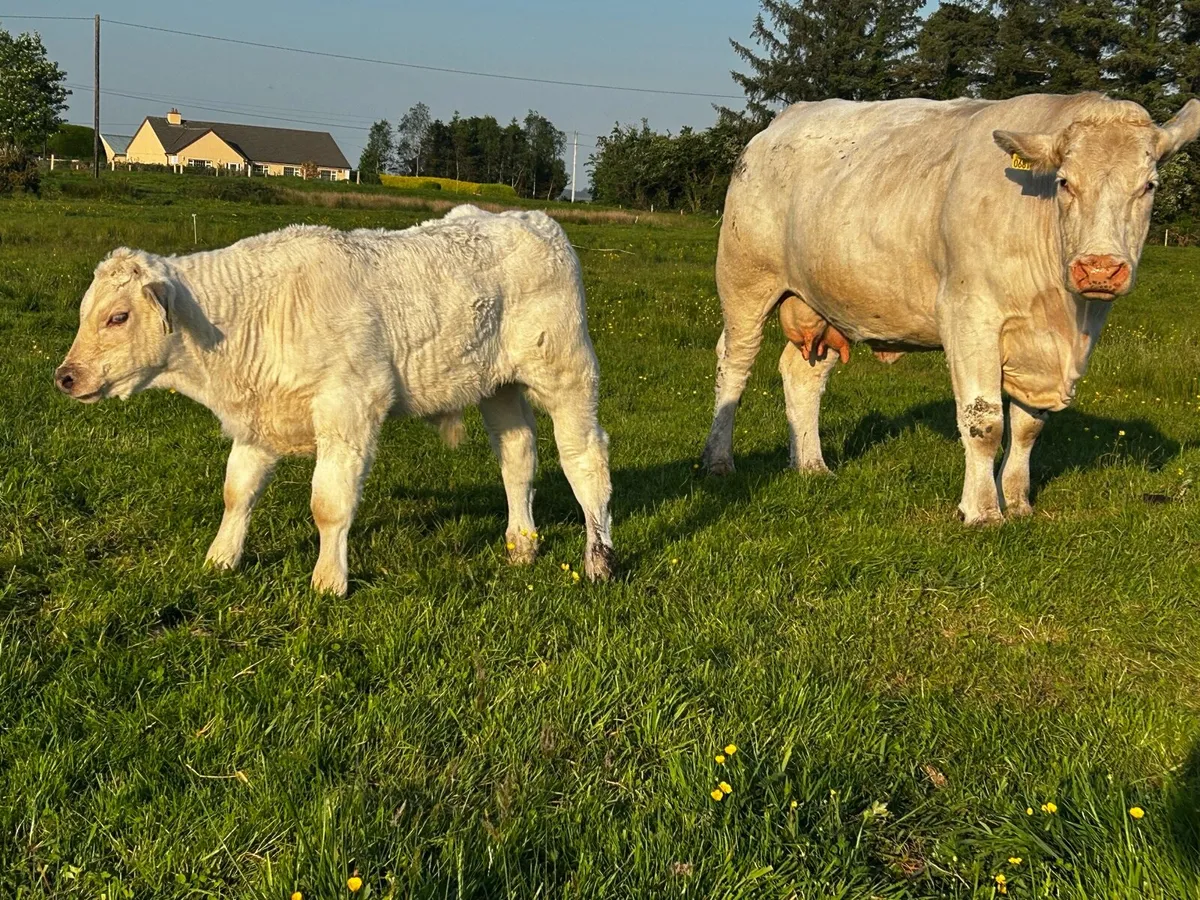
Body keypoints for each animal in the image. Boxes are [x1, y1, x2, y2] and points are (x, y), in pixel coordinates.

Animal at [55, 206, 615, 594]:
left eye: (118, 317)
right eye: (86, 312)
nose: (65, 376)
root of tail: (529, 218)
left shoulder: (350, 406)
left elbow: (328, 503)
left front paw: (328, 581)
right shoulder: (259, 421)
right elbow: (237, 493)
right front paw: (221, 559)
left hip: (567, 373)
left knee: (585, 462)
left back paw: (598, 561)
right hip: (497, 387)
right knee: (517, 459)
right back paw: (522, 545)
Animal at [702, 92, 1200, 524]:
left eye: (1148, 186)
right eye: (1065, 182)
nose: (1098, 268)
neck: (1059, 316)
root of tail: (781, 122)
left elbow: (1027, 428)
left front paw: (1018, 502)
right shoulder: (969, 316)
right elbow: (985, 421)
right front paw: (982, 511)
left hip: (821, 301)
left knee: (803, 373)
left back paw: (810, 464)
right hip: (745, 280)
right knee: (735, 364)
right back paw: (718, 460)